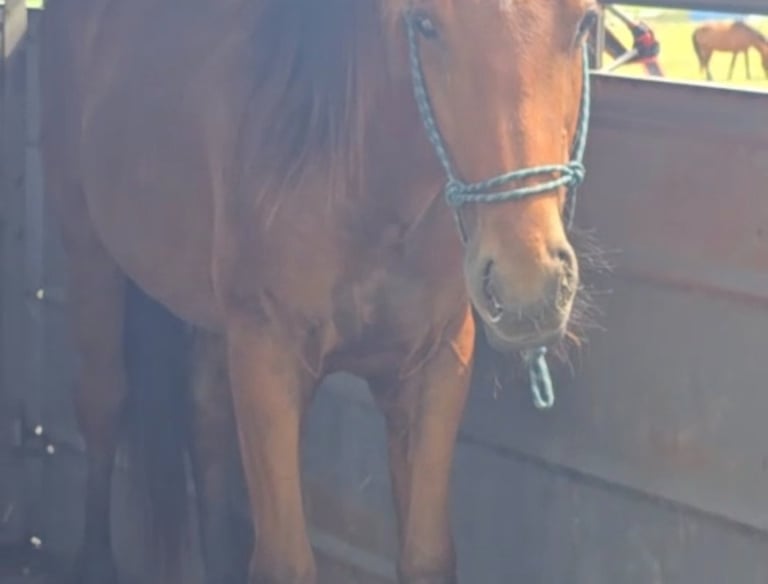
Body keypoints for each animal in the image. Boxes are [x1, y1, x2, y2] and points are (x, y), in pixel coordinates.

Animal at [38, 0, 598, 582]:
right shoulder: (268, 360)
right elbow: (285, 560)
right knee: (102, 402)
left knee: (206, 420)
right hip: (89, 252)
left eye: (584, 23)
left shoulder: (437, 366)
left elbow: (425, 554)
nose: (528, 283)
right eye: (426, 24)